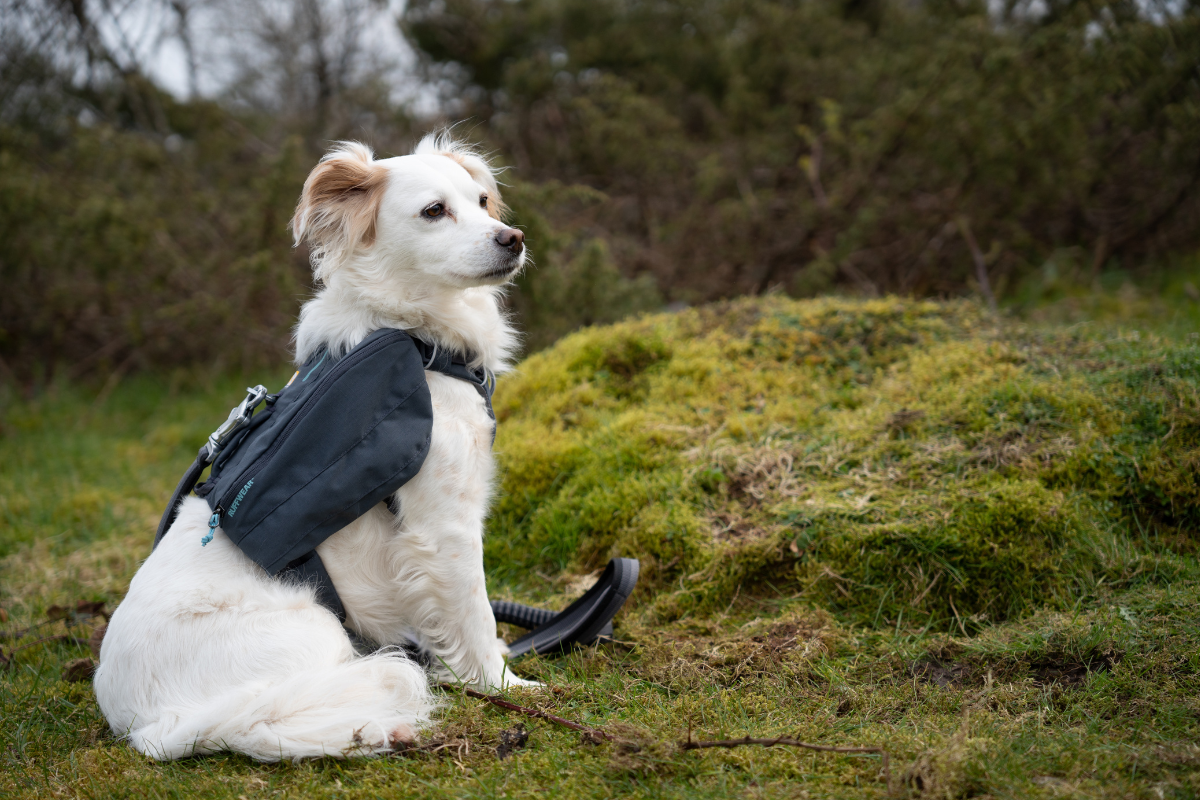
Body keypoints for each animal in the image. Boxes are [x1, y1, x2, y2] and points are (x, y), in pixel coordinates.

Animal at [96, 136, 537, 762]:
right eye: (434, 211)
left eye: (481, 202)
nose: (513, 238)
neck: (415, 338)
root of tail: (145, 725)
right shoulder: (445, 526)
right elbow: (475, 614)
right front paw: (507, 686)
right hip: (313, 631)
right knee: (267, 720)